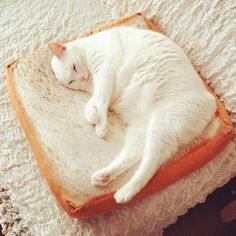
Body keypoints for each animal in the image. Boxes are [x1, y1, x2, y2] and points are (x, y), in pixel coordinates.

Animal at [48, 25, 216, 203]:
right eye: (71, 81)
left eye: (74, 67)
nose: (83, 77)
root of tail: (211, 102)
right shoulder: (100, 88)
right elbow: (94, 102)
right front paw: (92, 116)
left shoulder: (105, 73)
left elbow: (101, 100)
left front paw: (100, 126)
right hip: (140, 131)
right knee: (134, 155)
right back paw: (104, 177)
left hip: (163, 126)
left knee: (151, 164)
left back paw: (125, 193)